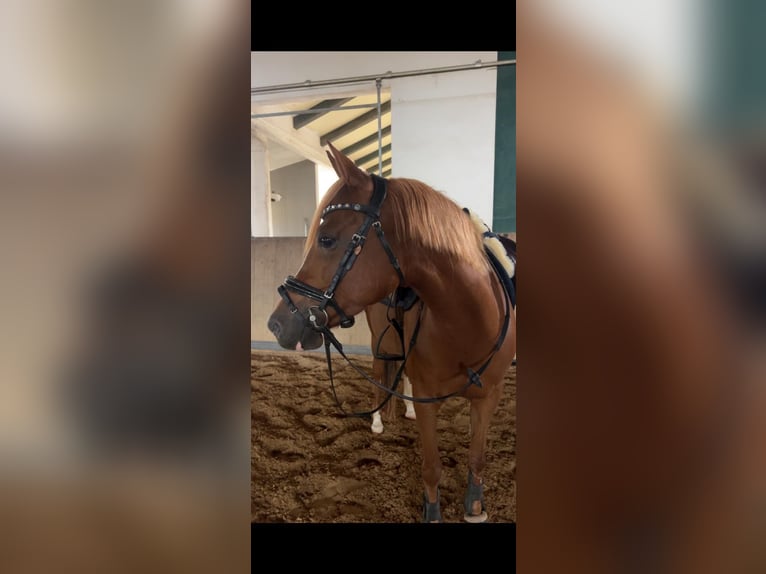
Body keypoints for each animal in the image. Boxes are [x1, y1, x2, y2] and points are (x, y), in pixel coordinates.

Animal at [267, 143, 516, 522]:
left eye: (327, 239)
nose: (277, 324)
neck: (468, 323)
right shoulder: (430, 399)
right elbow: (431, 467)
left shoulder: (489, 395)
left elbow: (477, 456)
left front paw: (475, 507)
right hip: (378, 337)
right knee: (378, 370)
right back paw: (377, 422)